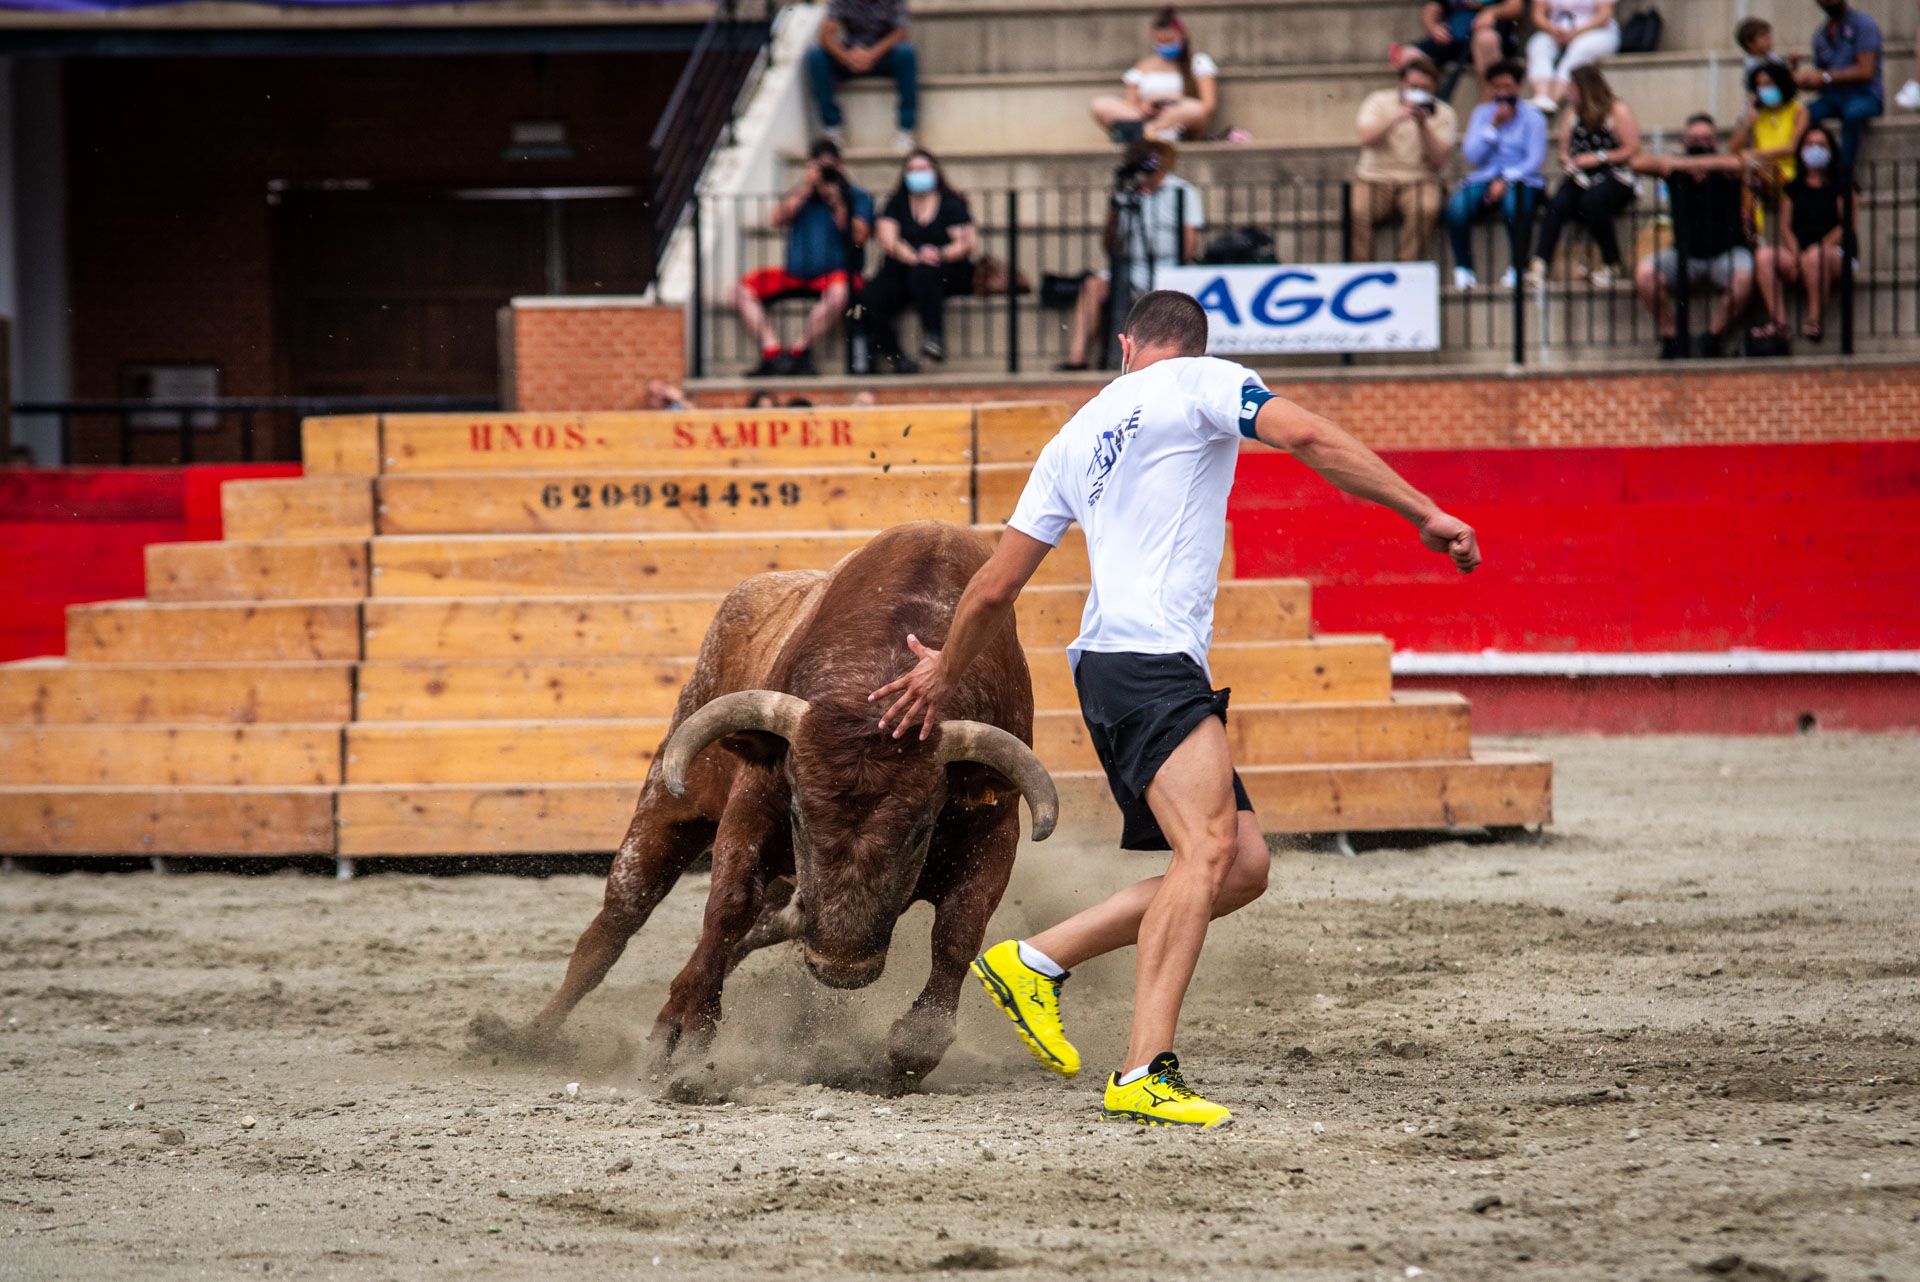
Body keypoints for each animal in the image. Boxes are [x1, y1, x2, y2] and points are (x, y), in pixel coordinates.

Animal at [476, 522, 1052, 1082]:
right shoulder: (753, 805)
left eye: (919, 832)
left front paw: (908, 1054)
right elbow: (726, 908)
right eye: (799, 817)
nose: (840, 967)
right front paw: (689, 1041)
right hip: (666, 809)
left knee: (758, 928)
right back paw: (528, 1037)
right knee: (614, 927)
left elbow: (958, 932)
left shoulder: (995, 830)